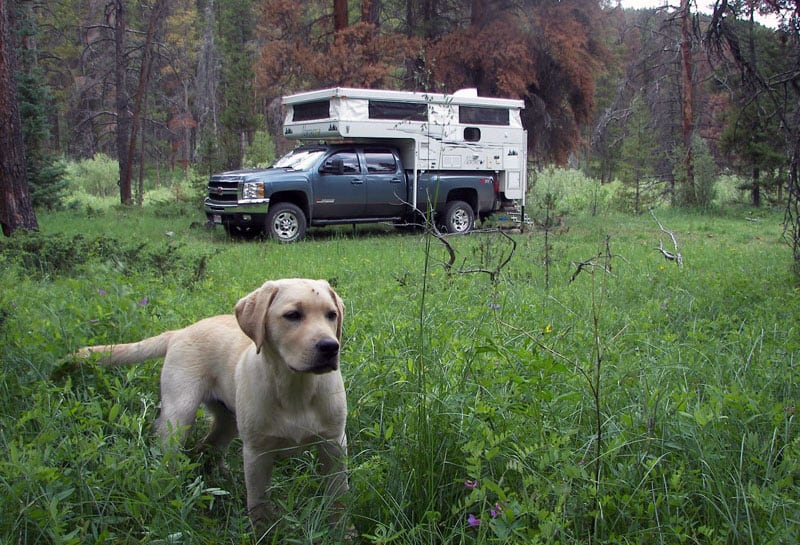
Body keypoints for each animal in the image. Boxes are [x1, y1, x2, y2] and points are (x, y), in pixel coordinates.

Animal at [77, 278, 346, 520]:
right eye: (292, 315)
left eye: (331, 315)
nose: (330, 347)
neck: (296, 387)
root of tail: (180, 331)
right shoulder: (257, 453)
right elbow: (258, 502)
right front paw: (264, 530)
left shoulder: (334, 444)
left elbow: (338, 496)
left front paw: (341, 527)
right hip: (179, 414)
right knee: (170, 454)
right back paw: (170, 493)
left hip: (229, 419)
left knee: (209, 446)